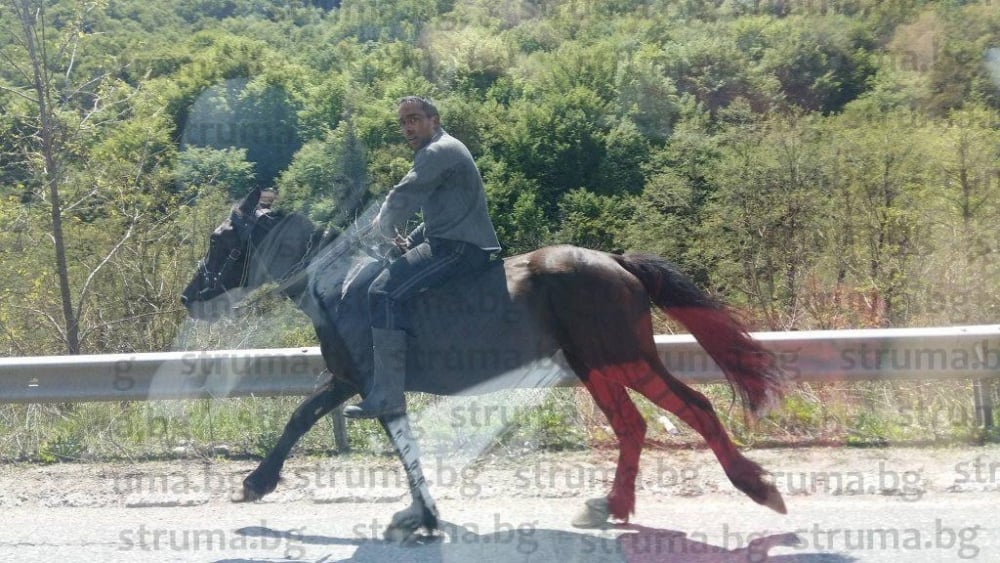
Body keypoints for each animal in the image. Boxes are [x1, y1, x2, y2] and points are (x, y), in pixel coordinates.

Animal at [180, 189, 788, 540]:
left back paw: (757, 486)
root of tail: (615, 261)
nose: (190, 295)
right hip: (594, 365)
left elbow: (306, 419)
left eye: (218, 238)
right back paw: (609, 504)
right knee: (633, 425)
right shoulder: (355, 382)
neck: (339, 282)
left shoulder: (360, 380)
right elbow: (345, 427)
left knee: (693, 407)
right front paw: (419, 514)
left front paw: (257, 482)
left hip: (620, 356)